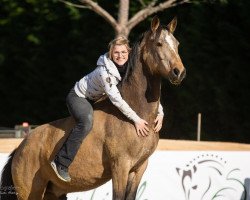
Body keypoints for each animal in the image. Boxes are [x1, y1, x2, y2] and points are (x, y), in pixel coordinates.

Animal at [0, 16, 186, 200]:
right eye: (159, 44)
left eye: (177, 44)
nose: (179, 72)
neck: (137, 114)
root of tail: (20, 148)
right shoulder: (120, 166)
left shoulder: (139, 168)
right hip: (31, 192)